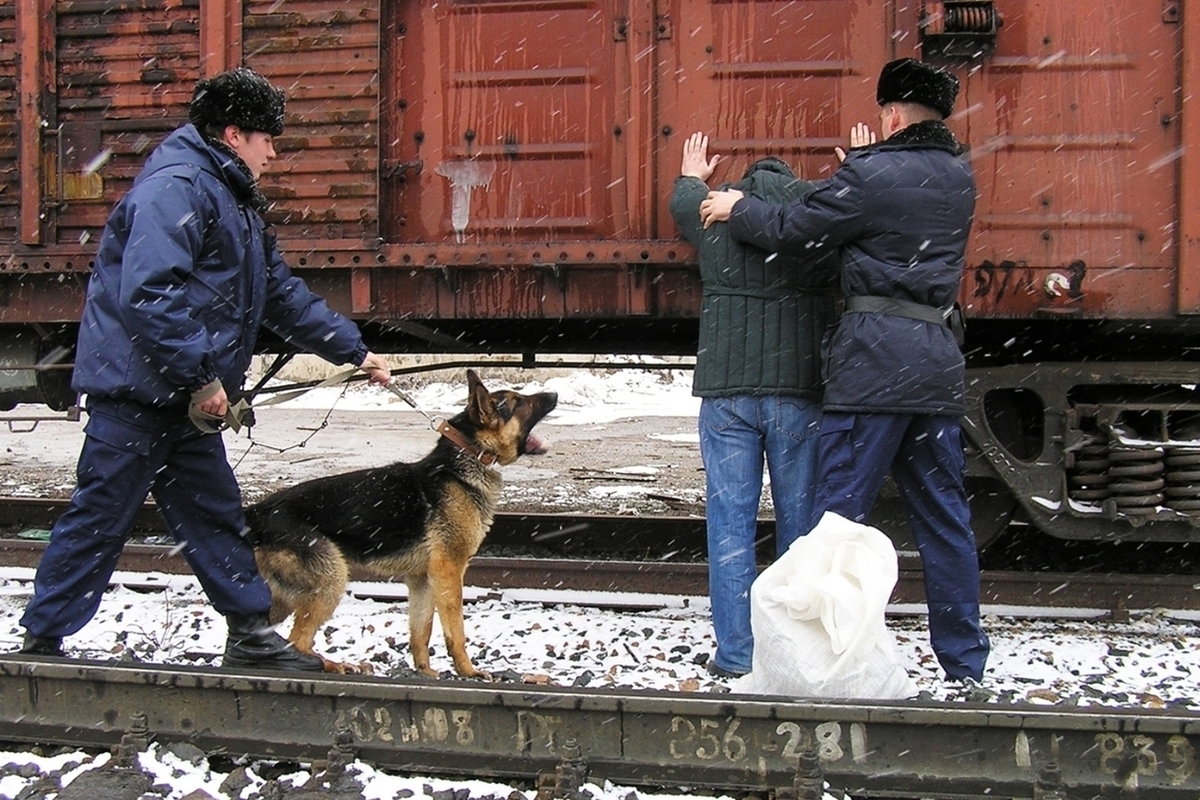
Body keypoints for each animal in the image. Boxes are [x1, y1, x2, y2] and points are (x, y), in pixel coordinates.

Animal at [247, 369, 561, 676]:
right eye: (518, 402)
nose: (555, 393)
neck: (469, 454)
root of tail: (258, 512)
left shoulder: (422, 581)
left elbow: (421, 632)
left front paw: (425, 672)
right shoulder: (449, 571)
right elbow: (456, 631)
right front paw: (468, 671)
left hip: (284, 598)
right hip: (330, 580)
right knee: (298, 641)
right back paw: (334, 665)